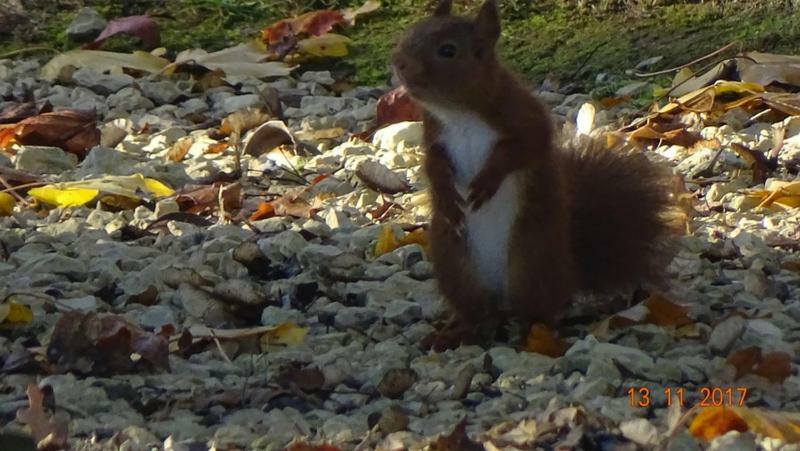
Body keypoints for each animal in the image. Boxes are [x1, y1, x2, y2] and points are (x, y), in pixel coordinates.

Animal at [392, 0, 676, 350]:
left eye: (448, 50)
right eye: (410, 32)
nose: (399, 63)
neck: (460, 113)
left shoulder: (525, 118)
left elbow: (522, 150)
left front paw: (486, 182)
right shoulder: (435, 138)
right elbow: (433, 167)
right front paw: (447, 199)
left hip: (532, 262)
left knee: (537, 311)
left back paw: (534, 336)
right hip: (456, 268)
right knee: (478, 314)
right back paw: (455, 333)